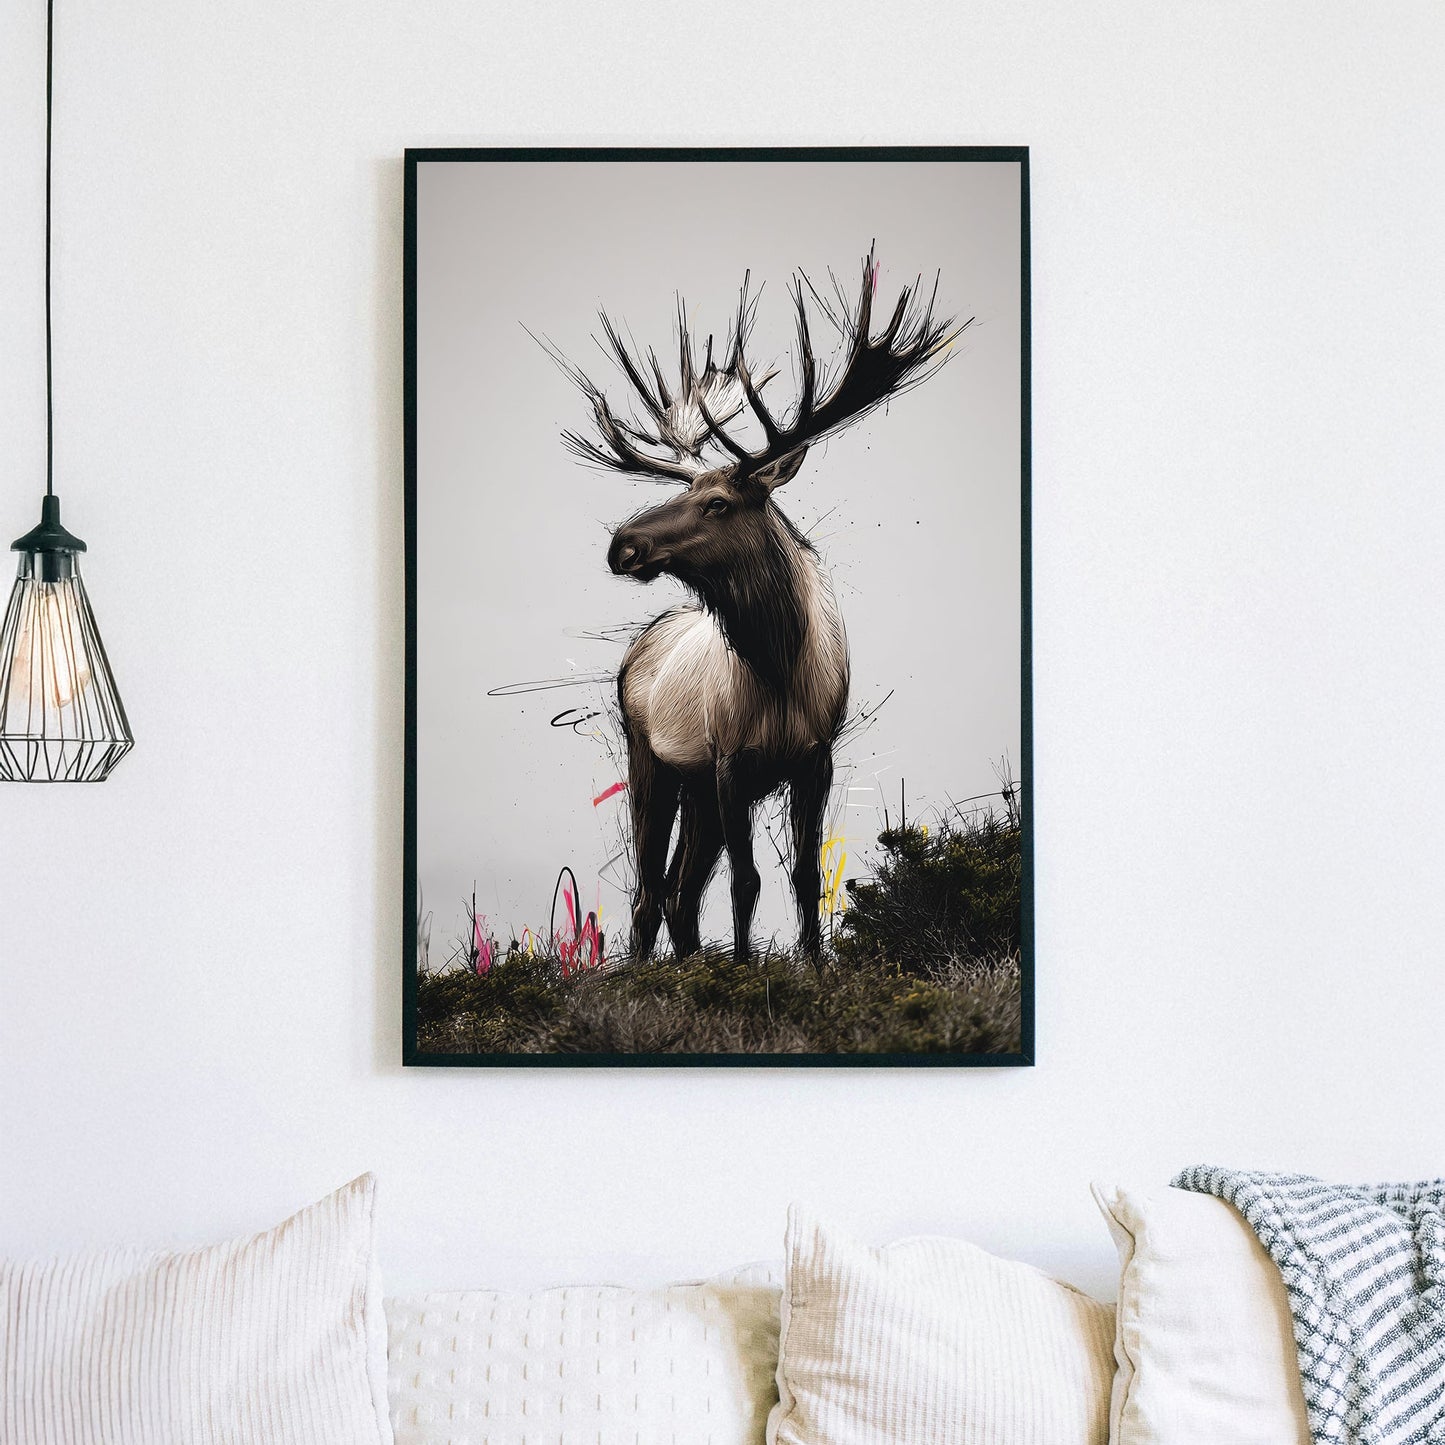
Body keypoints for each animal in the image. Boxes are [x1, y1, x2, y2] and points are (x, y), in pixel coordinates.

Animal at [543, 247, 968, 966]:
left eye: (717, 502)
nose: (622, 544)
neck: (780, 670)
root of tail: (641, 644)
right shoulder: (727, 761)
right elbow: (746, 881)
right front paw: (742, 970)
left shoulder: (814, 757)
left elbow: (801, 874)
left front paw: (813, 966)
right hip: (650, 756)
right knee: (649, 892)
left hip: (692, 788)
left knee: (679, 890)